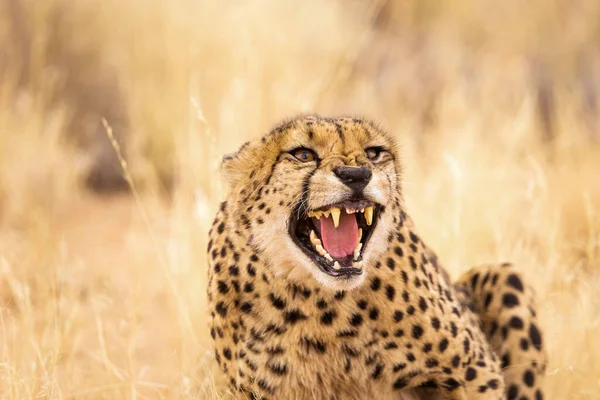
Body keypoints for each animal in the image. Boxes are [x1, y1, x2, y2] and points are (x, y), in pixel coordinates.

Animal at [207, 114, 548, 398]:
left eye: (373, 153)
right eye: (303, 154)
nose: (356, 174)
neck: (322, 306)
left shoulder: (474, 370)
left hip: (503, 274)